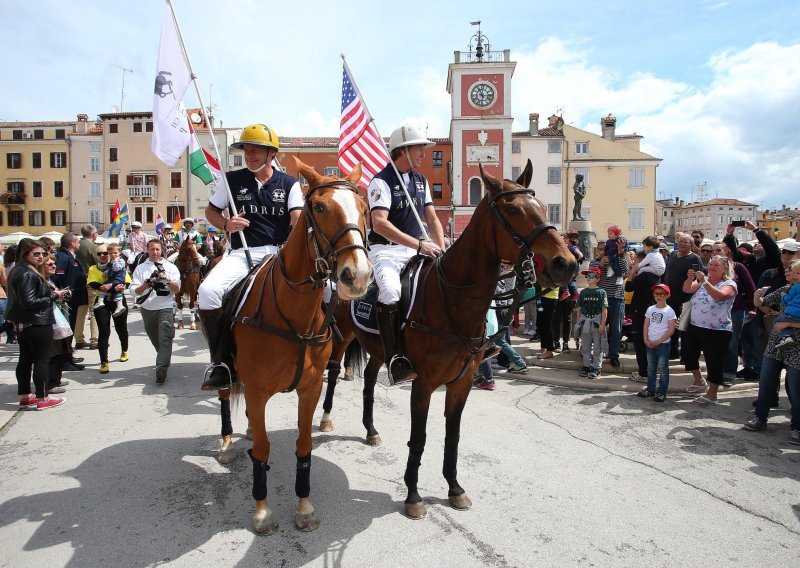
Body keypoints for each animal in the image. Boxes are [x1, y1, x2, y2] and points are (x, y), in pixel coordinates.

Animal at [230, 159, 370, 532]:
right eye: (319, 207)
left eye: (364, 208)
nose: (358, 275)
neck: (292, 317)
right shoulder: (257, 389)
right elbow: (263, 448)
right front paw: (262, 510)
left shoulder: (309, 388)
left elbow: (304, 445)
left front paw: (304, 506)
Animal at [318, 160, 576, 520]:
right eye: (513, 209)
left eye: (540, 205)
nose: (566, 263)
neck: (452, 299)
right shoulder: (424, 383)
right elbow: (419, 437)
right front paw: (413, 495)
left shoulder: (461, 382)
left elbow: (452, 436)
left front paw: (455, 488)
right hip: (341, 339)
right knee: (331, 373)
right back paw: (326, 419)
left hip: (378, 352)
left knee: (368, 383)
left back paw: (370, 430)